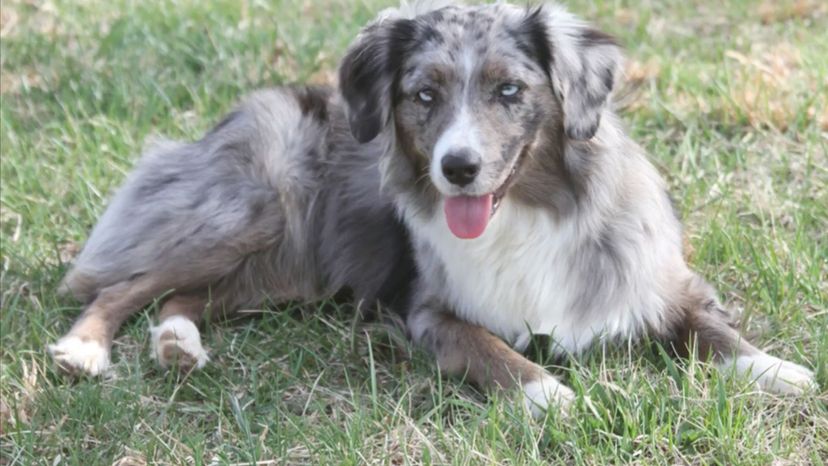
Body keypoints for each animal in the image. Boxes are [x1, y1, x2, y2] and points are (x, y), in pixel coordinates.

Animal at [50, 0, 816, 416]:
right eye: (424, 94)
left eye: (510, 90)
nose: (458, 168)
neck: (525, 215)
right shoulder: (430, 313)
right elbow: (496, 353)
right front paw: (554, 398)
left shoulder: (656, 280)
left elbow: (712, 329)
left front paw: (777, 371)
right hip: (253, 215)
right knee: (123, 285)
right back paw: (84, 350)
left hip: (291, 270)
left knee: (187, 297)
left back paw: (177, 343)